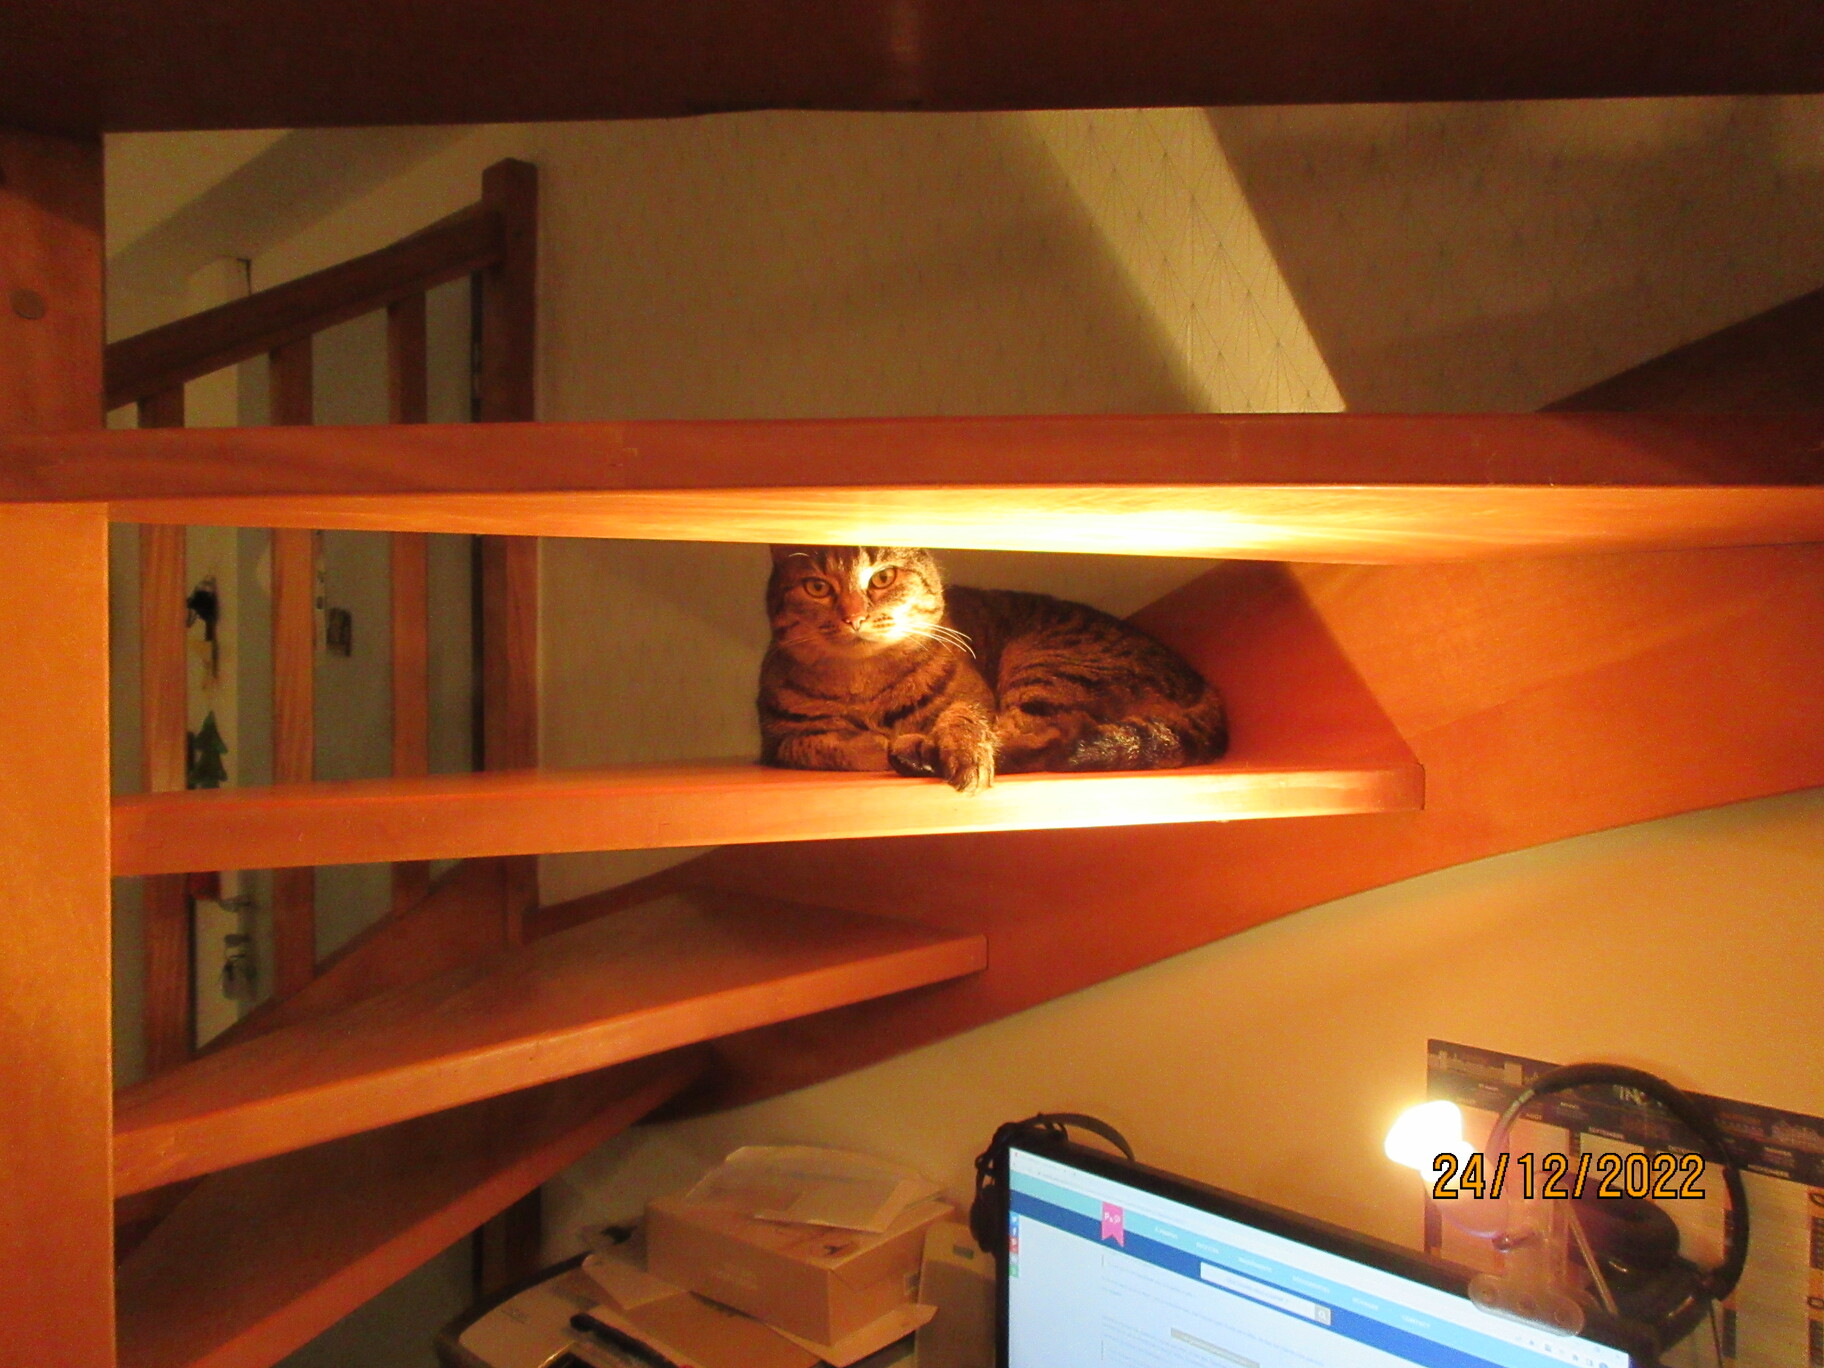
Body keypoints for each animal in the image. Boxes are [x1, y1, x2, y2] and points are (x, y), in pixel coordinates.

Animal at [758, 545, 1226, 794]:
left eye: (883, 578)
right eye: (817, 587)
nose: (853, 616)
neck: (865, 680)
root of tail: (1204, 689)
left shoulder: (974, 697)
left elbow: (963, 721)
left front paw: (952, 750)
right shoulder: (784, 741)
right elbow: (834, 744)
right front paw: (876, 743)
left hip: (1044, 661)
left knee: (1046, 739)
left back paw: (919, 752)